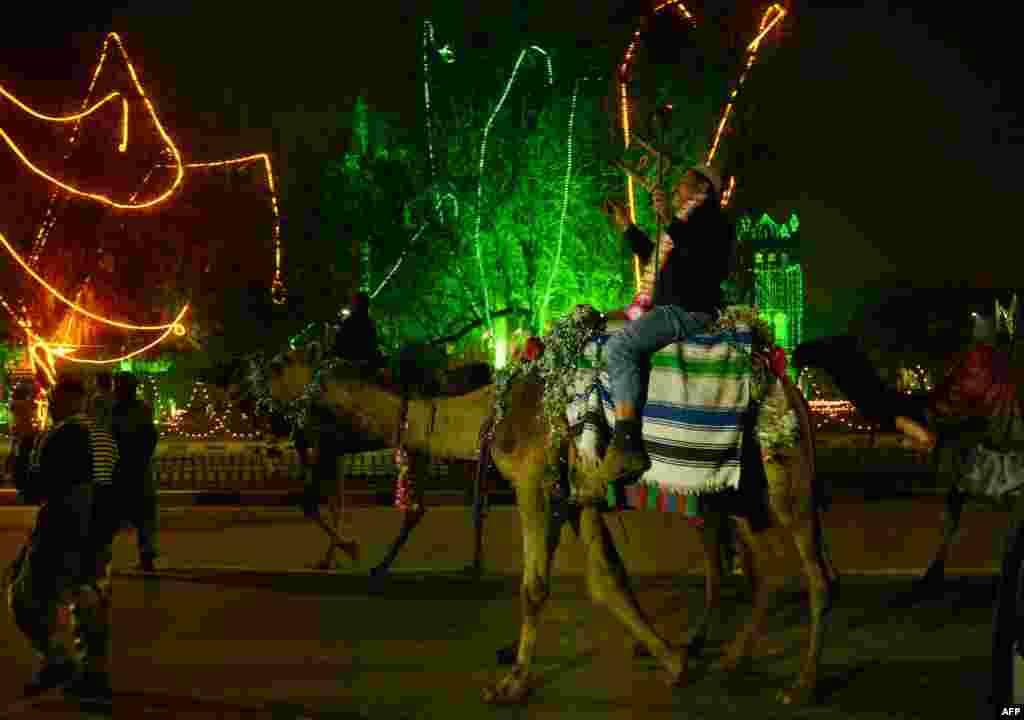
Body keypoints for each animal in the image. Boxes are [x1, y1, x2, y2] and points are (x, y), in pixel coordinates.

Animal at [266, 335, 839, 704]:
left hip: (784, 472)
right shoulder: (581, 495)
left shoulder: (533, 482)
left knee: (815, 574)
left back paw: (803, 683)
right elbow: (608, 580)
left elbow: (535, 586)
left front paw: (513, 683)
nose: (249, 387)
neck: (490, 412)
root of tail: (793, 390)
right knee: (761, 569)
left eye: (278, 365)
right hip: (741, 492)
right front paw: (674, 661)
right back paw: (733, 659)